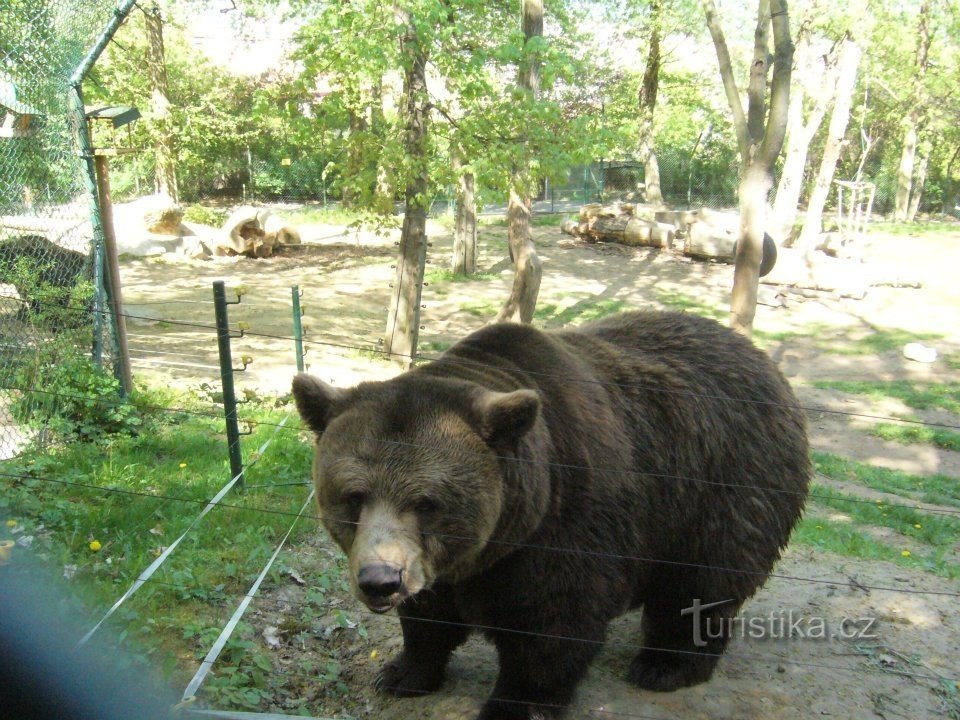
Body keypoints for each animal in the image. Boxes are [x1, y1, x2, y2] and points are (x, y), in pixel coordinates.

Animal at [292, 310, 808, 720]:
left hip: (725, 486)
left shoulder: (568, 523)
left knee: (700, 584)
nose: (380, 581)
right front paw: (402, 673)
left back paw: (665, 665)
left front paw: (513, 707)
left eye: (425, 501)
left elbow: (551, 627)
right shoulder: (442, 564)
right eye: (354, 496)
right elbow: (429, 617)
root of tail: (762, 359)